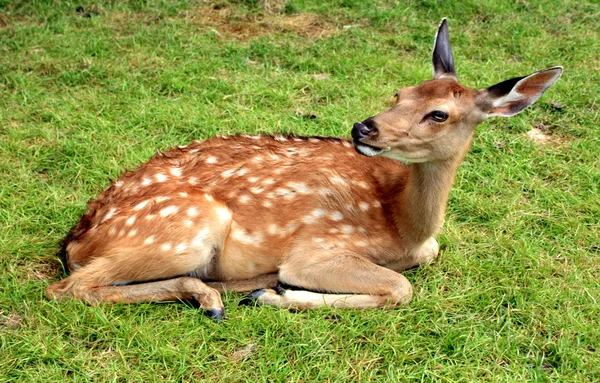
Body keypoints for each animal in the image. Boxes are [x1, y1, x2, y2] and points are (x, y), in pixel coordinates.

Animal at [47, 18, 564, 320]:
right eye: (399, 92)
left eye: (439, 113)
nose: (363, 127)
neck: (404, 224)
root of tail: (75, 240)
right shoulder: (317, 248)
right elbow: (400, 288)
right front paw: (283, 295)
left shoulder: (424, 247)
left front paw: (272, 292)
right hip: (187, 227)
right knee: (70, 287)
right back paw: (222, 296)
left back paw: (231, 290)